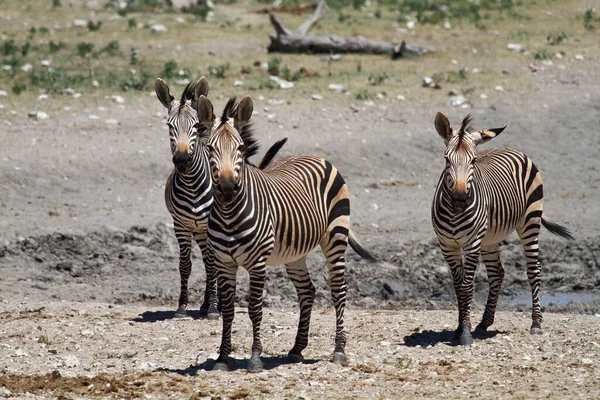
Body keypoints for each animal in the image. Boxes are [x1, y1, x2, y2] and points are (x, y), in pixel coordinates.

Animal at [155, 78, 286, 320]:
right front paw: (182, 307)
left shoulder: (210, 226)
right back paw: (207, 302)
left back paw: (214, 304)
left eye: (196, 127)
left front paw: (215, 308)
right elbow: (185, 265)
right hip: (199, 231)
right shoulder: (180, 225)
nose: (182, 160)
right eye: (169, 126)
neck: (192, 185)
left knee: (211, 263)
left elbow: (212, 265)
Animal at [195, 95, 378, 370]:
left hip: (335, 236)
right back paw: (297, 348)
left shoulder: (257, 263)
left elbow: (254, 308)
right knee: (307, 291)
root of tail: (317, 157)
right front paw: (223, 358)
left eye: (240, 149)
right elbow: (227, 310)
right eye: (210, 148)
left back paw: (339, 350)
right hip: (295, 254)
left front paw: (255, 358)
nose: (227, 188)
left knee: (339, 290)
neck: (229, 214)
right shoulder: (225, 262)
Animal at [428, 111, 576, 346]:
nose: (459, 199)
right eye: (446, 159)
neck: (454, 212)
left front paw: (465, 333)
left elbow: (467, 287)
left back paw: (536, 324)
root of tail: (514, 149)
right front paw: (459, 328)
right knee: (497, 273)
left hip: (529, 221)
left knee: (534, 270)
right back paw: (484, 323)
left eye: (473, 160)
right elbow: (458, 287)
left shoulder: (472, 244)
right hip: (489, 238)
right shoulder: (447, 245)